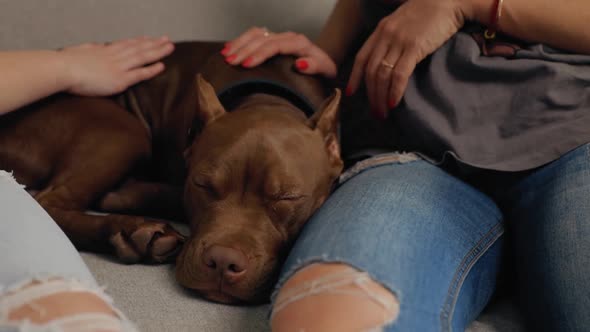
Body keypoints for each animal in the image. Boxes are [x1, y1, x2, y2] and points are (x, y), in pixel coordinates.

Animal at [0, 41, 344, 304]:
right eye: (203, 185)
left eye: (288, 197)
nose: (223, 261)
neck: (266, 96)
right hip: (123, 129)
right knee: (48, 202)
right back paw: (131, 231)